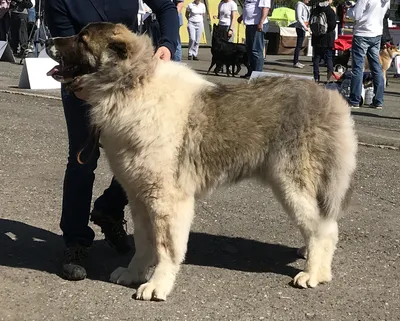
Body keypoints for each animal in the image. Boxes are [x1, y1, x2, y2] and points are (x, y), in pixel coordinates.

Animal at [45, 21, 358, 300]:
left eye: (82, 40)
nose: (49, 39)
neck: (132, 86)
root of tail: (328, 97)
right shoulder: (139, 197)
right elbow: (145, 242)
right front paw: (134, 273)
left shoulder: (167, 200)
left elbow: (166, 248)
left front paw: (157, 285)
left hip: (291, 184)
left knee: (324, 229)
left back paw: (314, 273)